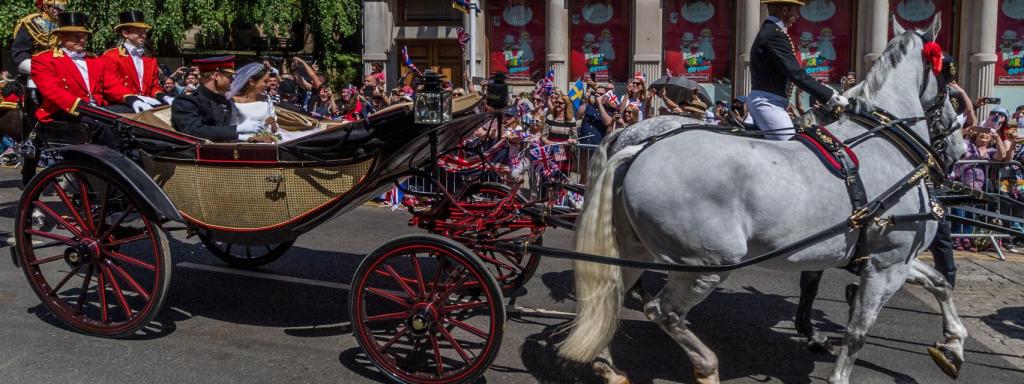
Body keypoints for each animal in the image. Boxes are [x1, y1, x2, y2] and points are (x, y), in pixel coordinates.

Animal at [561, 15, 966, 384]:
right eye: (949, 80)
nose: (959, 148)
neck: (884, 142)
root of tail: (637, 147)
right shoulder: (886, 264)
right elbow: (856, 333)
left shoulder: (889, 258)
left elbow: (940, 282)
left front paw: (954, 344)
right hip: (707, 265)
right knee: (664, 312)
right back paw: (706, 366)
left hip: (633, 251)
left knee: (609, 296)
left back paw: (608, 365)